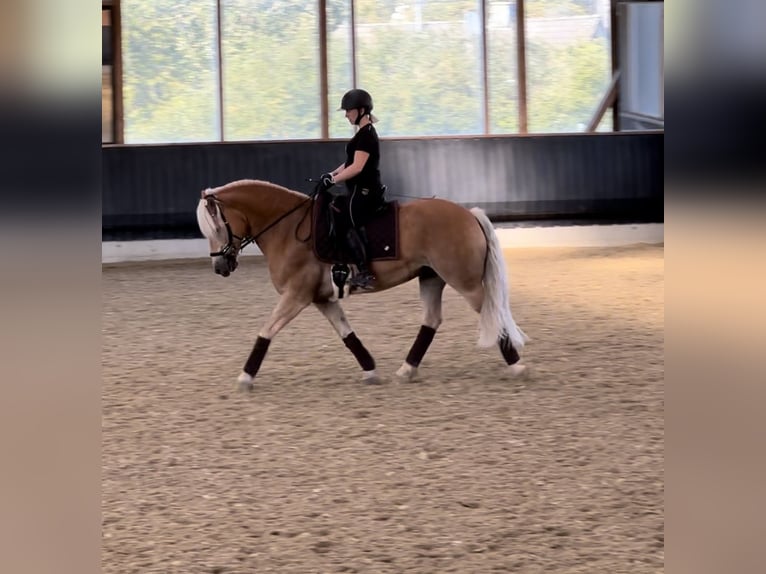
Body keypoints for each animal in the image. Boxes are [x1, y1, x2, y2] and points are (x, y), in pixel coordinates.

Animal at [195, 179, 532, 392]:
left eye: (217, 227)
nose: (220, 267)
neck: (288, 229)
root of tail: (469, 215)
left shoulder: (296, 296)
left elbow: (266, 331)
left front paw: (245, 377)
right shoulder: (322, 299)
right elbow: (347, 334)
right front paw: (370, 370)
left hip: (465, 282)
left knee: (492, 314)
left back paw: (518, 368)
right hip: (431, 277)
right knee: (431, 320)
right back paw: (407, 370)